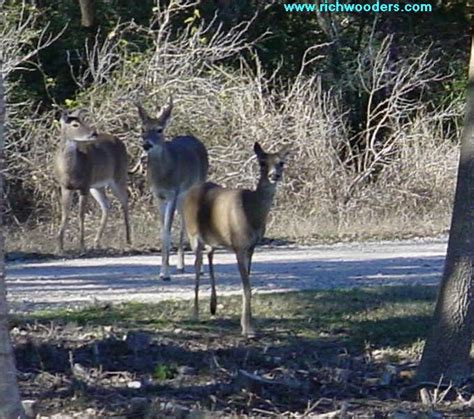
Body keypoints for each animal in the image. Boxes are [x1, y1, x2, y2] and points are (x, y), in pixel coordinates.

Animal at [56, 110, 131, 253]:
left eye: (83, 120)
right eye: (75, 124)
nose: (93, 133)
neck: (71, 169)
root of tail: (121, 142)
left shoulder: (84, 186)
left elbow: (81, 214)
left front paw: (82, 245)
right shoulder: (65, 187)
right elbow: (65, 213)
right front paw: (59, 246)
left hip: (118, 176)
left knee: (125, 200)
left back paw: (128, 240)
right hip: (97, 186)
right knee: (106, 205)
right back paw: (96, 242)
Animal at [137, 99, 209, 282]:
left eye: (159, 129)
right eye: (142, 129)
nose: (146, 145)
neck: (163, 175)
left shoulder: (173, 194)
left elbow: (168, 230)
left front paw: (165, 273)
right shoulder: (158, 196)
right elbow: (164, 231)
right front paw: (164, 271)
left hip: (195, 186)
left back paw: (199, 266)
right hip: (183, 197)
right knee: (184, 222)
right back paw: (181, 265)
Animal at [183, 143, 290, 336]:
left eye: (281, 163)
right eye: (262, 162)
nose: (274, 176)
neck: (251, 211)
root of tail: (191, 190)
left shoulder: (251, 247)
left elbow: (247, 283)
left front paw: (248, 324)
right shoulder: (239, 245)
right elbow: (246, 287)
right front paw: (247, 328)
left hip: (213, 237)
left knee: (209, 255)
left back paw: (213, 305)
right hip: (193, 234)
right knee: (197, 266)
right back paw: (195, 313)